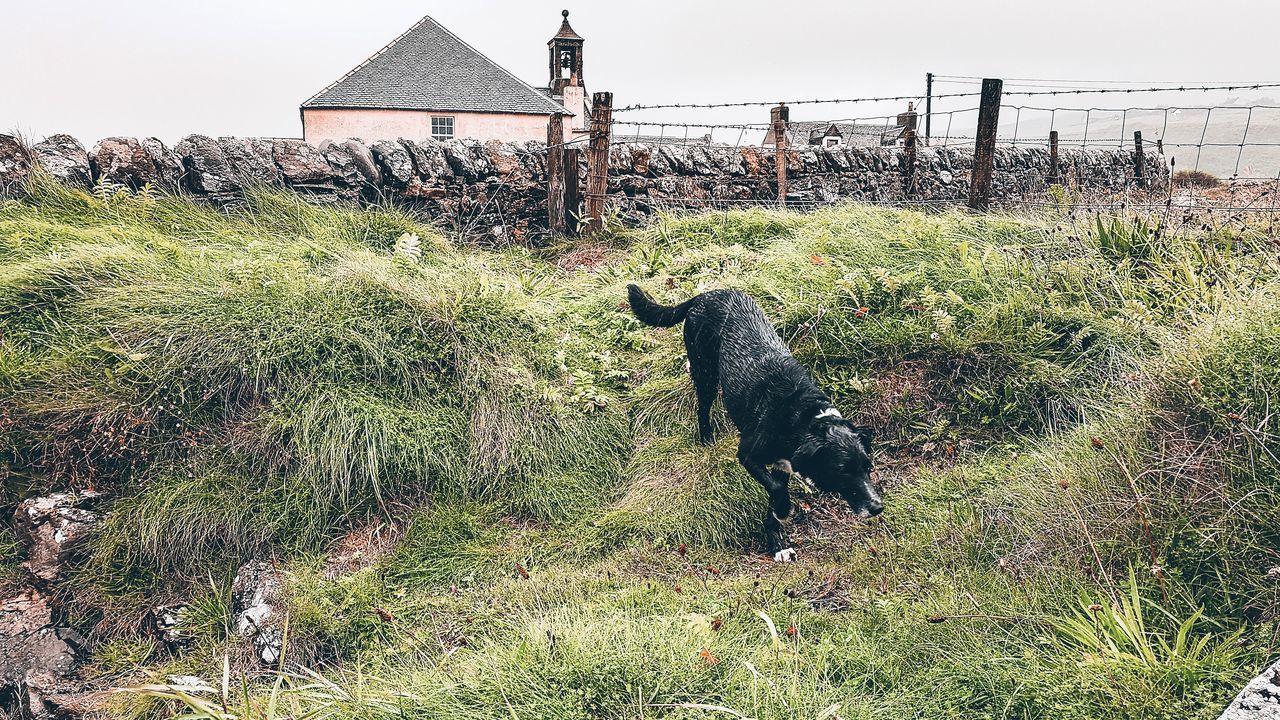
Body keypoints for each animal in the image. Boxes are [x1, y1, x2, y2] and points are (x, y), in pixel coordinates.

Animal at [627, 281, 880, 561]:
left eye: (868, 467)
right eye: (842, 470)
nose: (877, 507)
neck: (801, 417)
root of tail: (704, 295)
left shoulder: (783, 466)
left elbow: (773, 494)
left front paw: (778, 543)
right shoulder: (748, 454)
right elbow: (777, 491)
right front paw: (783, 512)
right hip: (705, 373)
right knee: (702, 409)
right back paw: (706, 440)